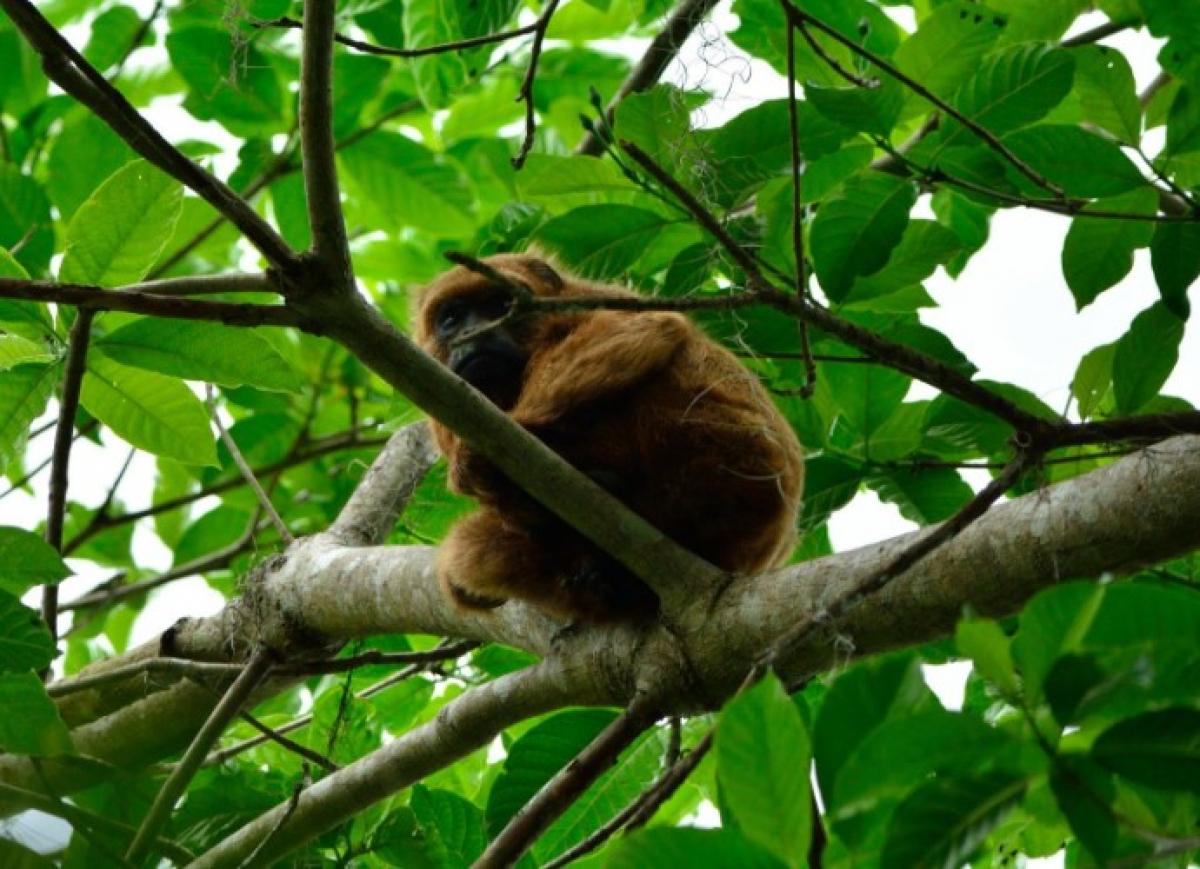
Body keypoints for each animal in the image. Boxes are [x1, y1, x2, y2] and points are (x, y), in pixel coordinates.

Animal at [416, 252, 804, 623]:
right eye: (451, 319)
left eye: (499, 306)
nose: (474, 333)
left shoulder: (593, 299)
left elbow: (642, 328)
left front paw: (474, 461)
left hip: (728, 457)